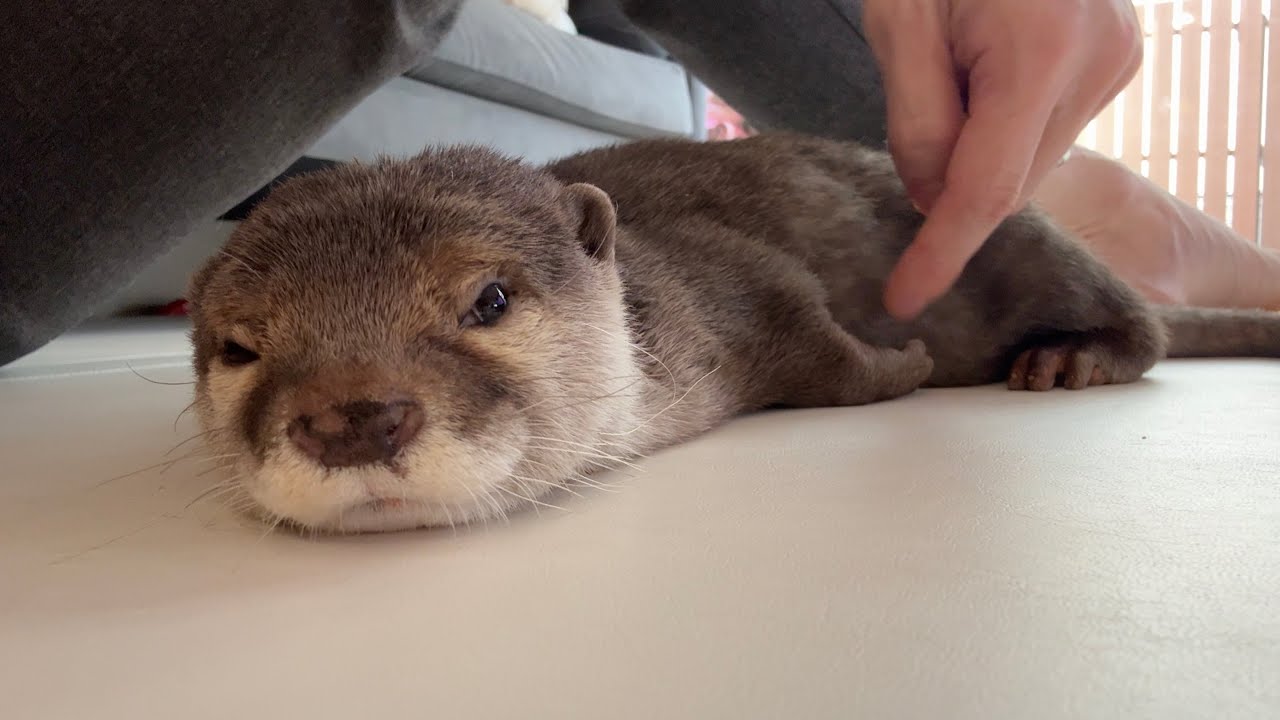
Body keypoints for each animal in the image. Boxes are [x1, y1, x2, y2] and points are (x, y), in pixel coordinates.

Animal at [186, 133, 1280, 533]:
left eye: (487, 301)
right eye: (239, 350)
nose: (351, 419)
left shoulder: (738, 279)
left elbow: (833, 356)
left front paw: (908, 360)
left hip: (1023, 241)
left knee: (1144, 324)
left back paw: (1070, 355)